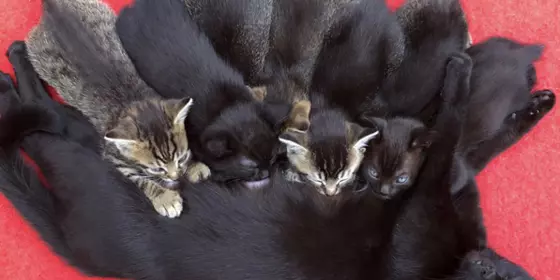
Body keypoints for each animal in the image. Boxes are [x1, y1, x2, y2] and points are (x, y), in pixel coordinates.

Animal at [26, 0, 210, 219]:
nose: (176, 176)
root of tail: (51, 6)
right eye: (156, 169)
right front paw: (165, 198)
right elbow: (141, 180)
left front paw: (194, 166)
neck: (134, 101)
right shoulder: (114, 156)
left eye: (180, 158)